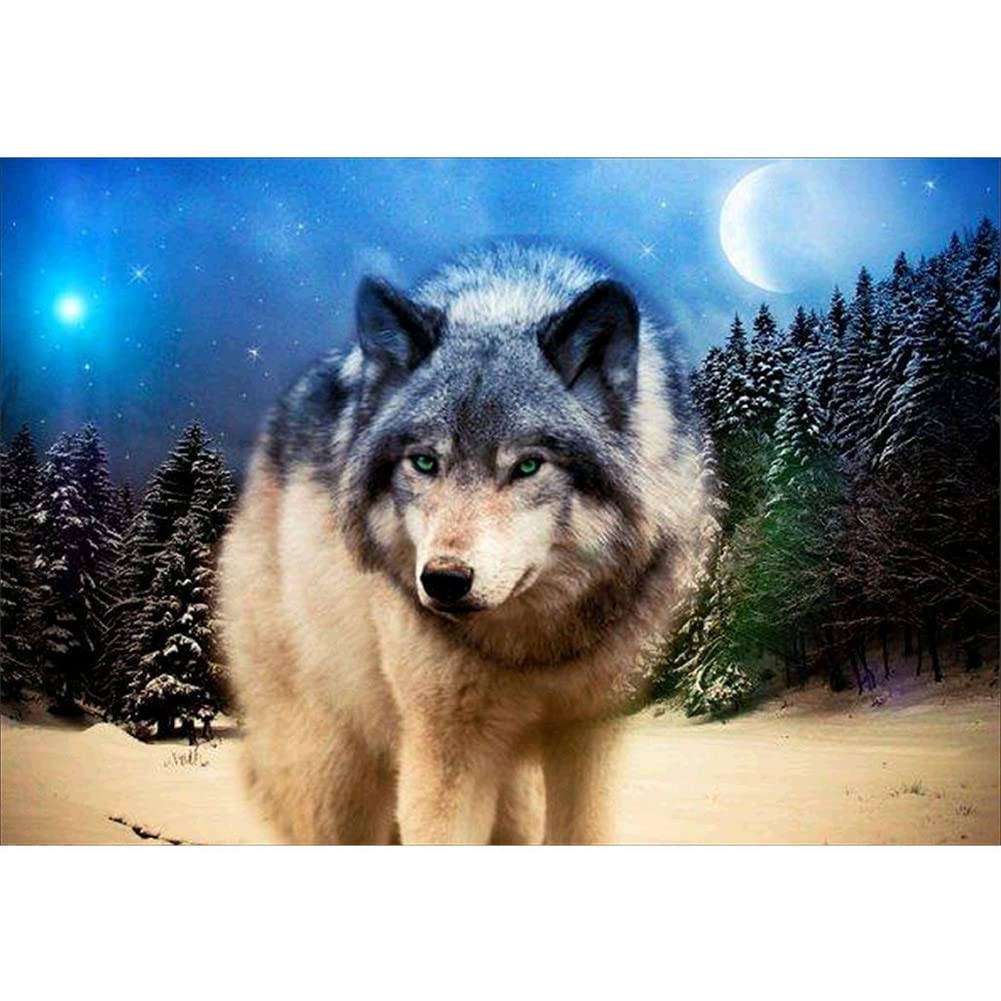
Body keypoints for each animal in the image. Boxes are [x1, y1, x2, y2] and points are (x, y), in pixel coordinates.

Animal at [218, 244, 711, 844]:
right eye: (425, 462)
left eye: (528, 466)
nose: (444, 580)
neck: (535, 650)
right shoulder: (446, 748)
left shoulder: (592, 734)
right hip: (335, 770)